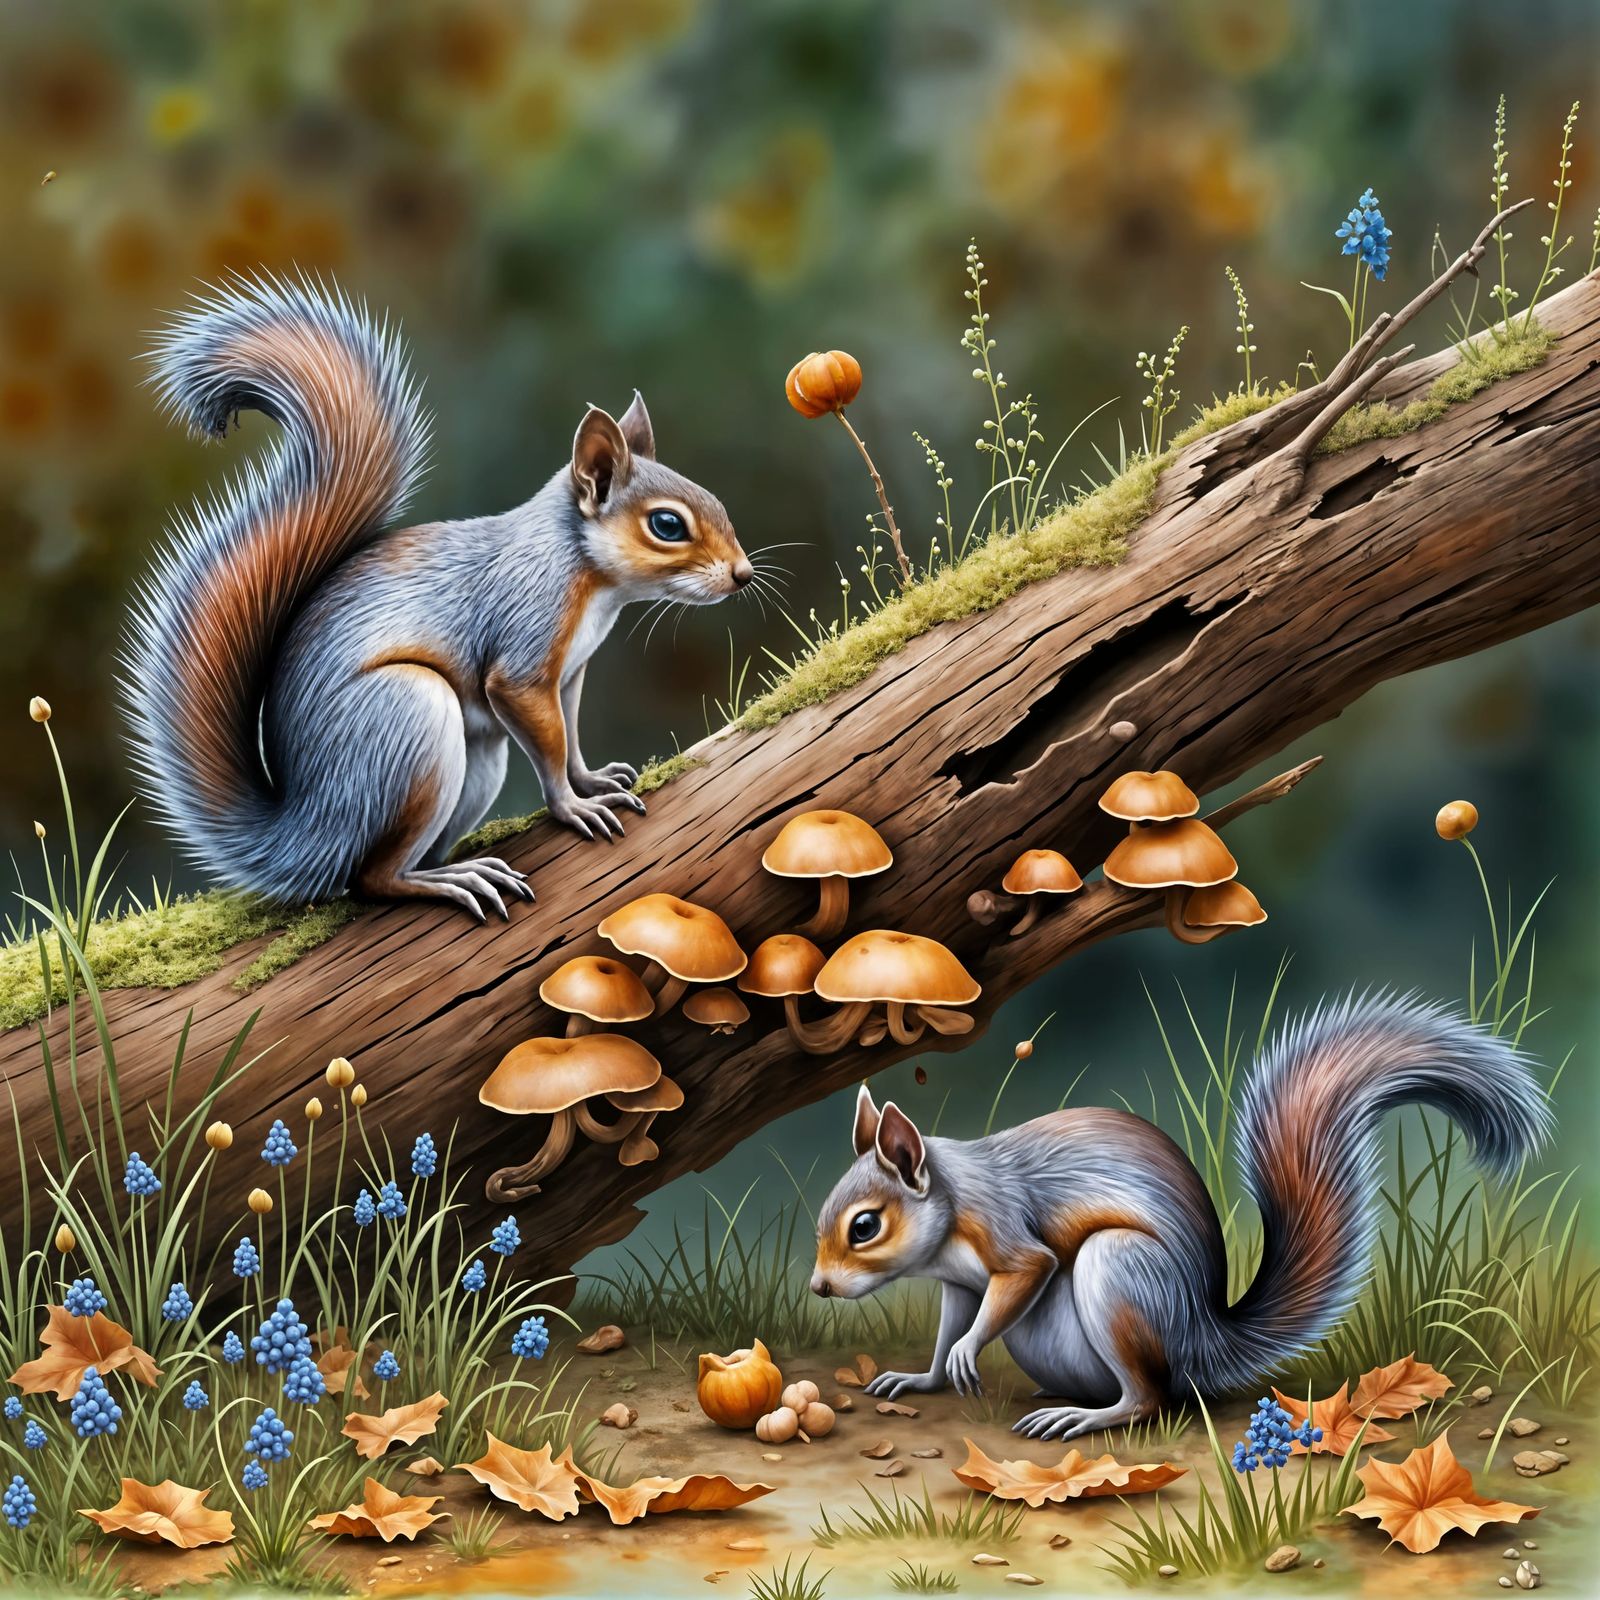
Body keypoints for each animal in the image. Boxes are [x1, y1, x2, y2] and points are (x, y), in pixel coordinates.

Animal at [123, 275, 752, 920]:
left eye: (716, 502)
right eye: (667, 525)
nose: (743, 575)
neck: (587, 574)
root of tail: (306, 830)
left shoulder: (571, 672)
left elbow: (570, 737)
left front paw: (592, 778)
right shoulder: (526, 644)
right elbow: (544, 737)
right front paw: (572, 806)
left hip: (474, 763)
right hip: (406, 722)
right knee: (371, 878)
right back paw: (455, 879)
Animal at [811, 992, 1551, 1441]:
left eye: (865, 1226)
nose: (817, 1288)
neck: (951, 1198)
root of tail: (1202, 1339)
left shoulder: (1004, 1230)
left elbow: (1026, 1272)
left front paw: (967, 1353)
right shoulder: (960, 1283)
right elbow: (949, 1331)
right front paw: (926, 1375)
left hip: (1120, 1273)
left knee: (1150, 1399)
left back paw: (1084, 1417)